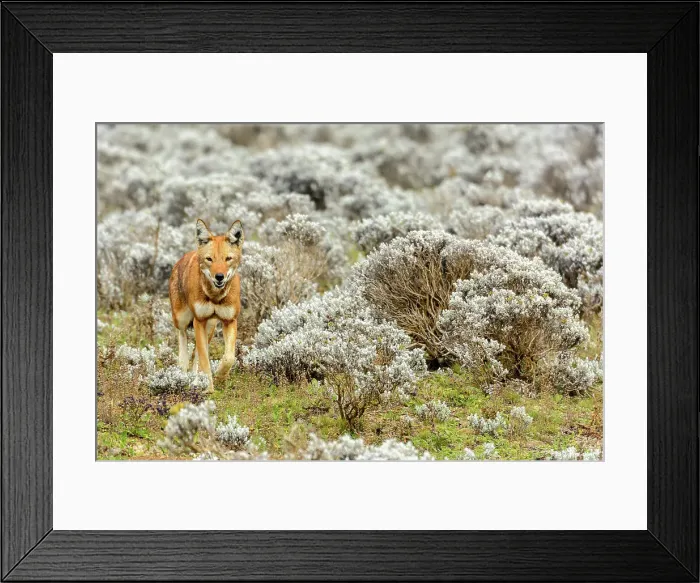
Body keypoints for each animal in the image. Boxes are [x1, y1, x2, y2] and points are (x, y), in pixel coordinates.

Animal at [169, 219, 243, 393]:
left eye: (228, 259)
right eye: (210, 259)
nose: (219, 276)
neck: (215, 297)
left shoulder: (230, 321)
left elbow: (228, 358)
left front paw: (220, 377)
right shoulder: (199, 321)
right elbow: (205, 360)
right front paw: (209, 389)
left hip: (210, 327)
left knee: (195, 354)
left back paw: (195, 380)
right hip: (182, 320)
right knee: (183, 342)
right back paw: (182, 373)